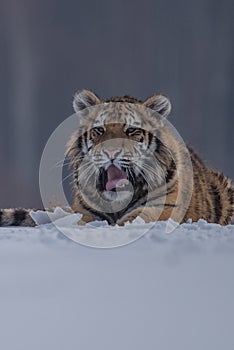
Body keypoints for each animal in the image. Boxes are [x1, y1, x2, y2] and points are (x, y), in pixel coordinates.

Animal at [0, 89, 233, 227]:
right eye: (99, 130)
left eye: (131, 131)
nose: (111, 152)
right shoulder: (83, 210)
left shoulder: (163, 207)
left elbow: (135, 219)